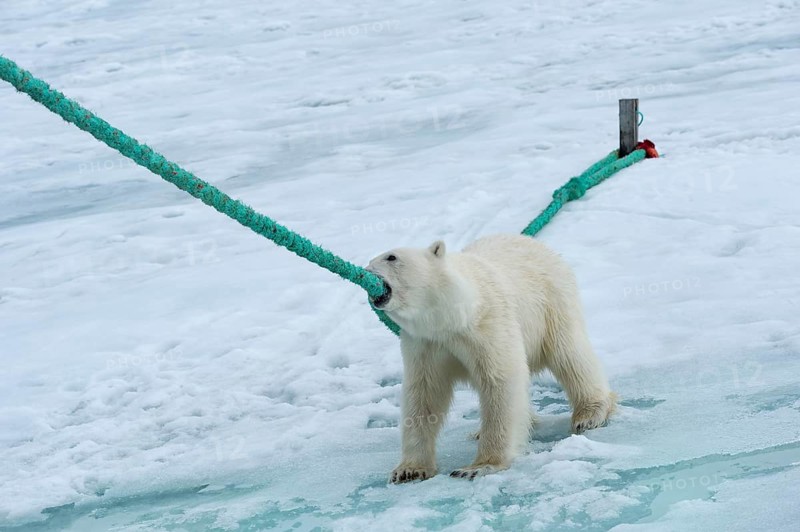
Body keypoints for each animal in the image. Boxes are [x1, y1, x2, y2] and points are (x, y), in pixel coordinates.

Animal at [366, 234, 616, 483]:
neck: (452, 318)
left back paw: (589, 413)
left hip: (553, 302)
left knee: (569, 354)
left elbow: (501, 381)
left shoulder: (488, 326)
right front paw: (409, 470)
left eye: (391, 257)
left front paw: (478, 466)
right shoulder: (425, 344)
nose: (366, 269)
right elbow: (423, 395)